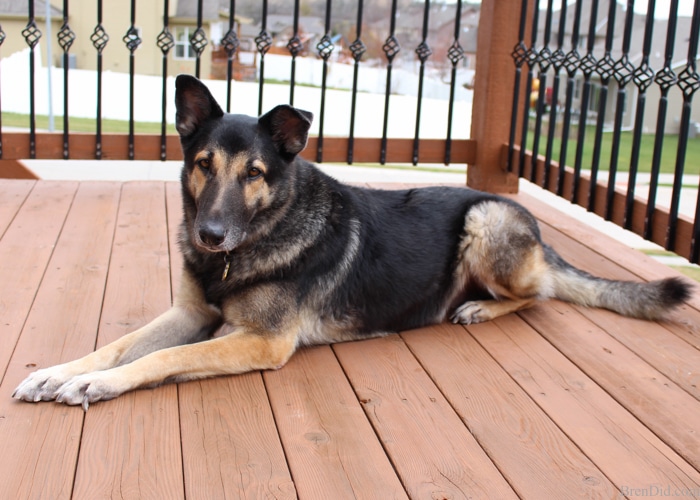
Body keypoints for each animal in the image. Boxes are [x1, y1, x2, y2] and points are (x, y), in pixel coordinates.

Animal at [13, 74, 692, 410]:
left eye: (253, 173)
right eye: (204, 164)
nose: (209, 236)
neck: (257, 239)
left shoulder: (259, 342)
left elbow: (159, 359)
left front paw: (97, 386)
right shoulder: (190, 313)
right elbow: (117, 346)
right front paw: (59, 373)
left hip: (488, 222)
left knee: (541, 292)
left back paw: (480, 305)